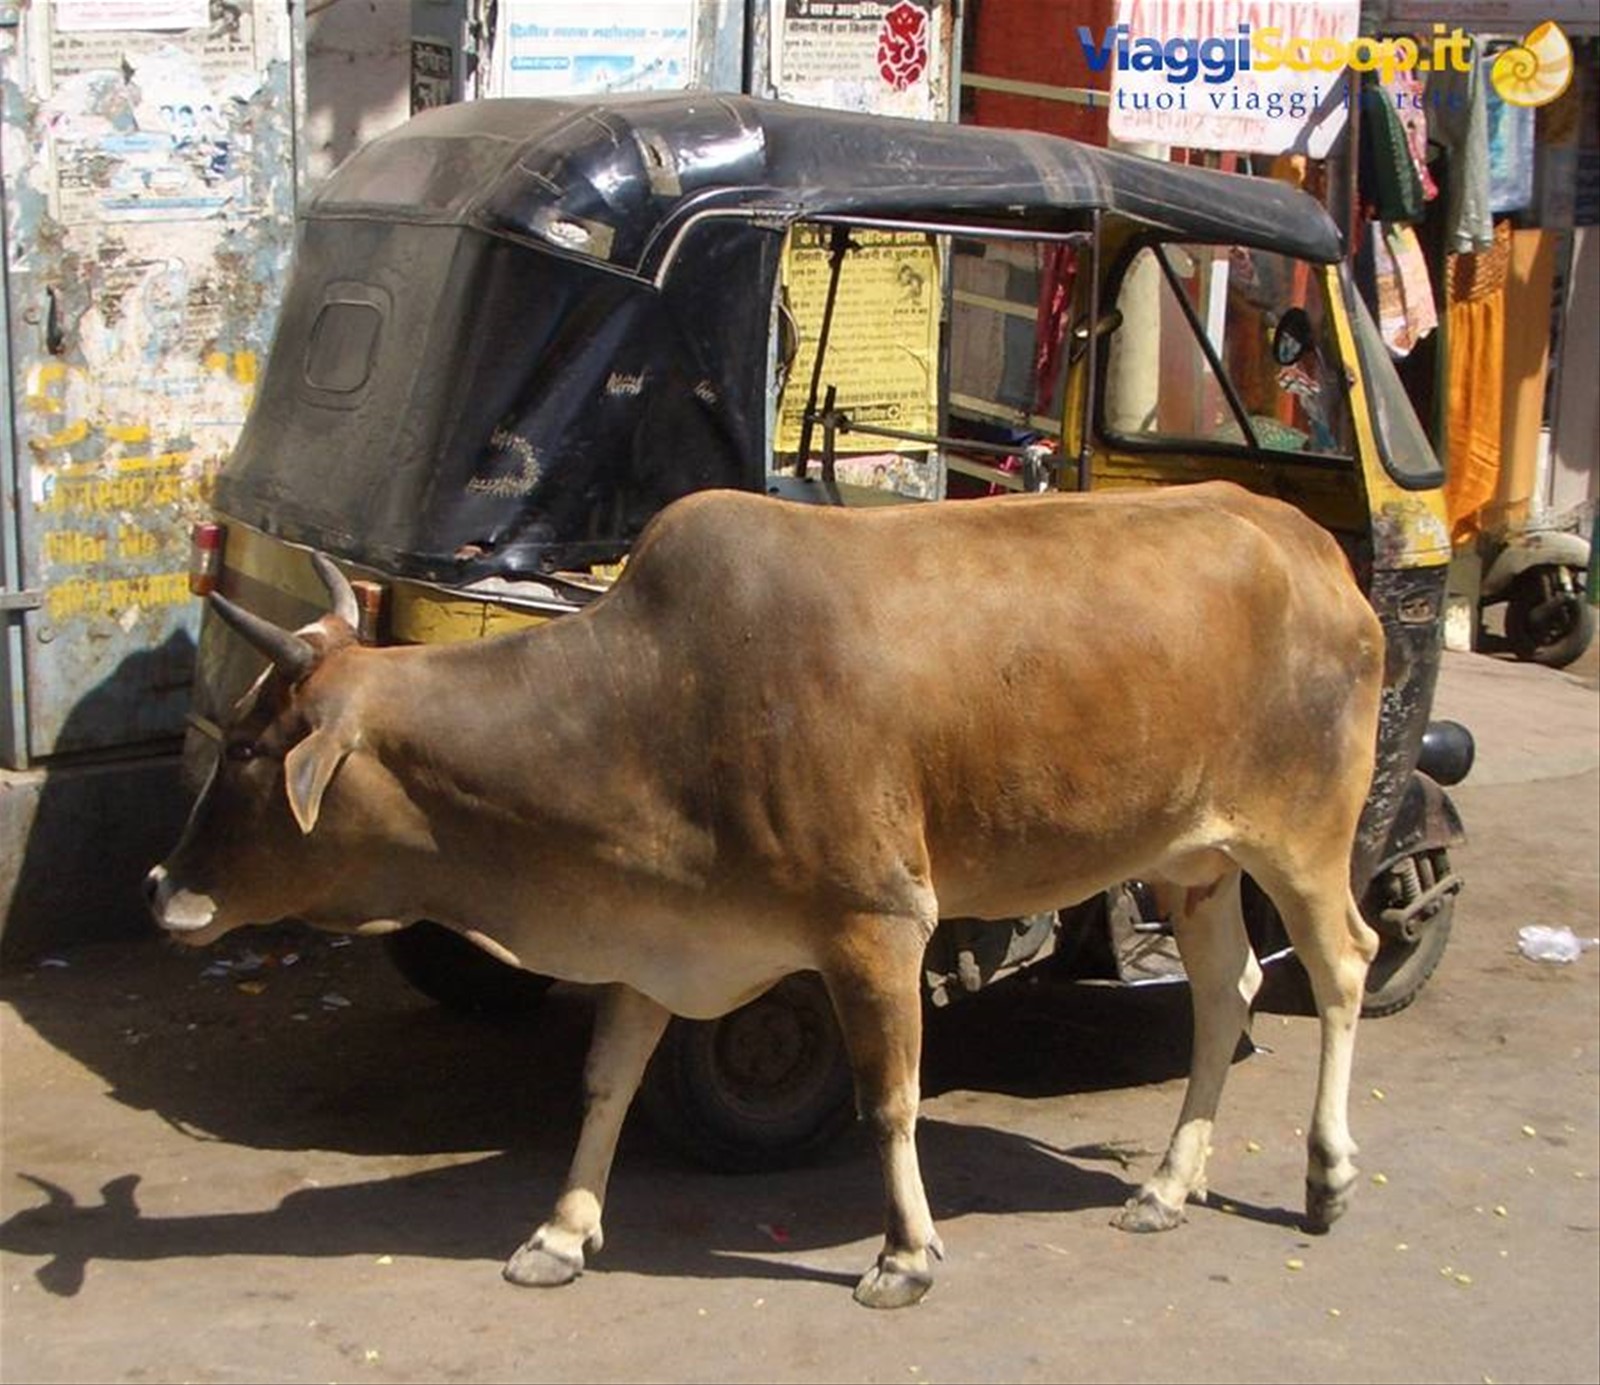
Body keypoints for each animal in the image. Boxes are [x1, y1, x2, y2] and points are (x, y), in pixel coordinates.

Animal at [147, 480, 1385, 1309]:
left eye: (252, 748)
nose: (164, 886)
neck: (648, 703)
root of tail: (1307, 540)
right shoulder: (657, 933)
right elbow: (604, 1084)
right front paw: (560, 1232)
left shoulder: (877, 923)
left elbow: (889, 1098)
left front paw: (904, 1254)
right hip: (1192, 858)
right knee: (1224, 990)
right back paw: (1169, 1184)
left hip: (1303, 835)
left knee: (1341, 965)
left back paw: (1327, 1174)